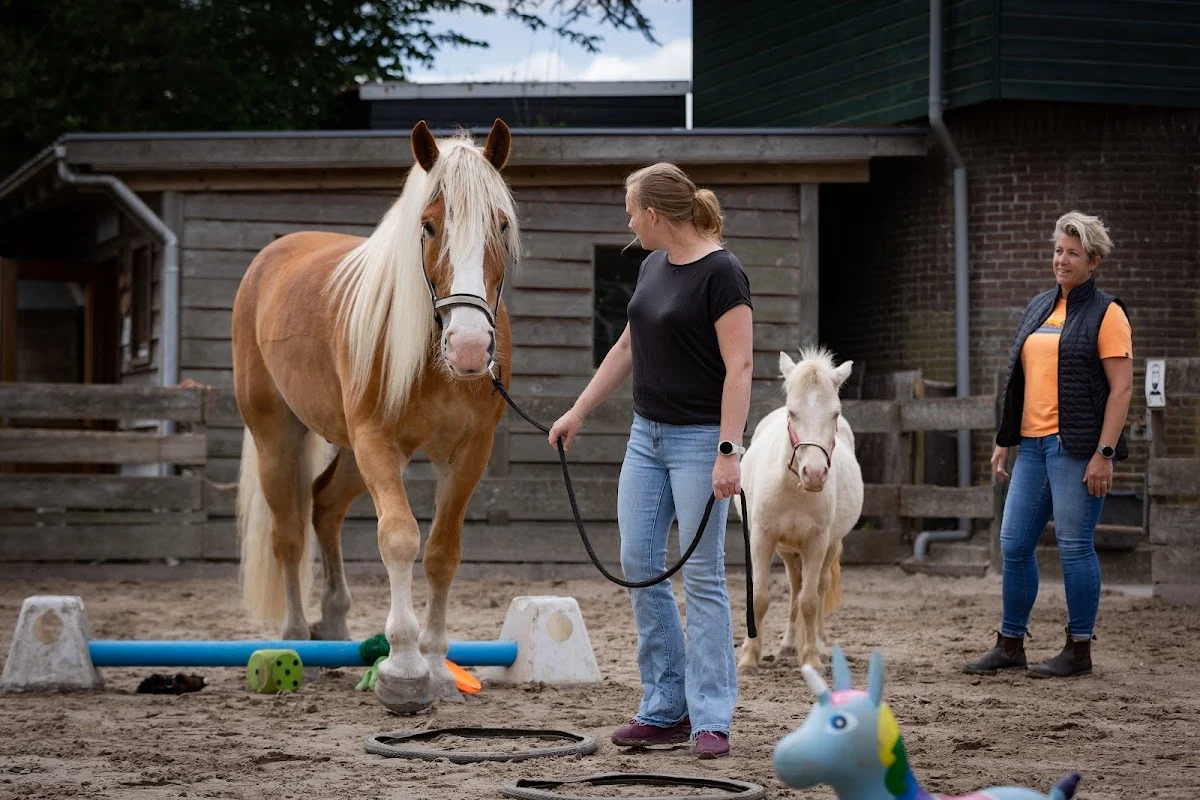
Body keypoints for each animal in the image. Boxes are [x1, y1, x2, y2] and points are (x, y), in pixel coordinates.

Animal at [230, 119, 520, 714]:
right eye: (428, 227)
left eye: (501, 225)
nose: (470, 347)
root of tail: (272, 258)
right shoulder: (377, 441)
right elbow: (400, 538)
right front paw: (404, 669)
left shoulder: (468, 454)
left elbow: (442, 552)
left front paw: (436, 665)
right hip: (278, 436)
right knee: (289, 533)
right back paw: (296, 639)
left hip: (347, 454)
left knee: (324, 506)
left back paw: (336, 629)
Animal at [736, 345, 864, 671]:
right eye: (792, 413)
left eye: (835, 413)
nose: (814, 474)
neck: (793, 489)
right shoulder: (763, 538)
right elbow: (760, 596)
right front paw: (749, 657)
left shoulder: (817, 542)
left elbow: (809, 600)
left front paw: (812, 657)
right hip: (787, 549)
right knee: (795, 586)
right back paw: (788, 645)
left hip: (828, 545)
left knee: (816, 588)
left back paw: (817, 644)